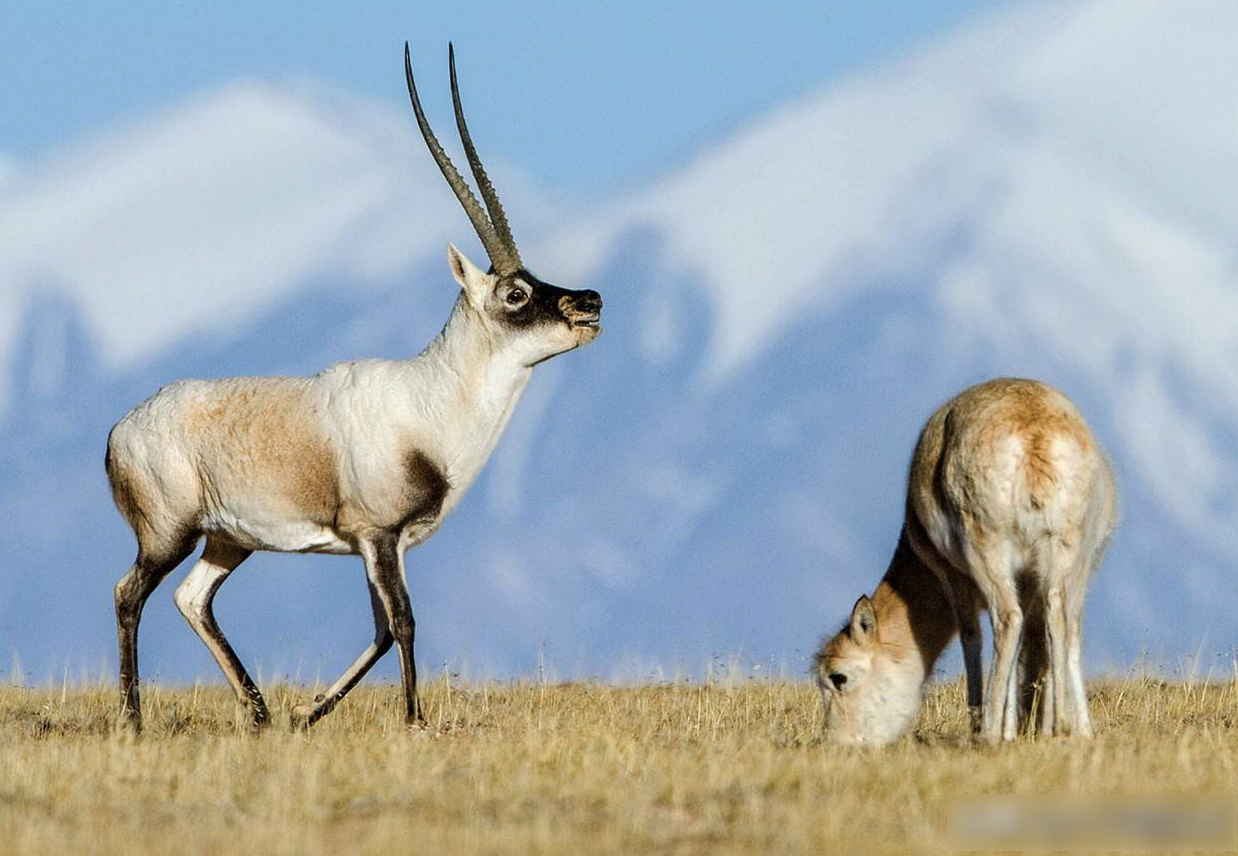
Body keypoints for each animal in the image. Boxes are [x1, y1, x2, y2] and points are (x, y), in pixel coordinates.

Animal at [108, 43, 601, 733]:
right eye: (515, 293)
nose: (591, 302)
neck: (430, 401)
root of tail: (122, 427)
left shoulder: (385, 545)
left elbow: (382, 629)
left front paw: (308, 713)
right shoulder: (377, 535)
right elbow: (404, 621)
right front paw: (414, 720)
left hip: (227, 540)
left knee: (191, 598)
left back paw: (262, 714)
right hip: (167, 533)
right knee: (129, 594)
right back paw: (133, 718)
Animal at [817, 379, 1119, 748]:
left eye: (838, 676)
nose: (835, 742)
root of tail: (1035, 431)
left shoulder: (954, 578)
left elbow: (971, 636)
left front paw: (989, 727)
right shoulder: (1032, 583)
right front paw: (1021, 729)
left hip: (987, 552)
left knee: (1008, 620)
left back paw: (988, 732)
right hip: (1067, 557)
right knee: (1061, 621)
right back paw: (1063, 727)